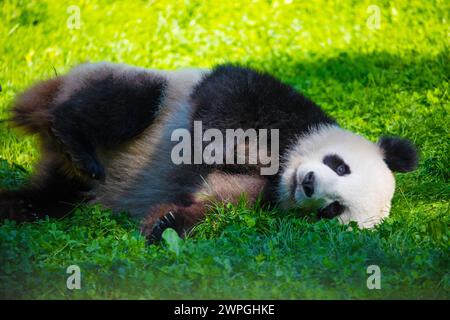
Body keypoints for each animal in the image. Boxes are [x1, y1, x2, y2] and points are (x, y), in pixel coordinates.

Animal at [0, 63, 418, 242]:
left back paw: (19, 204)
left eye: (333, 210)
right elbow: (230, 93)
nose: (310, 185)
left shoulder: (263, 199)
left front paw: (165, 223)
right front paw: (221, 150)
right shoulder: (284, 106)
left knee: (50, 197)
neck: (283, 170)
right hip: (141, 87)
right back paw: (74, 137)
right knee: (125, 102)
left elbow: (217, 203)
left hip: (63, 187)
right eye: (341, 165)